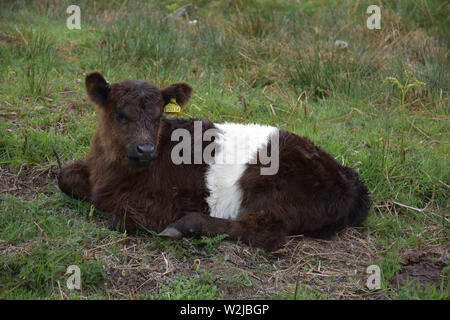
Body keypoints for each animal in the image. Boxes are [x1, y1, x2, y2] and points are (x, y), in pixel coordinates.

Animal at [57, 71, 370, 251]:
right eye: (119, 113)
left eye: (159, 116)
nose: (145, 149)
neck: (112, 174)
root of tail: (347, 175)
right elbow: (64, 177)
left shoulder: (172, 200)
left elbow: (121, 217)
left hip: (270, 184)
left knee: (263, 232)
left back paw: (186, 226)